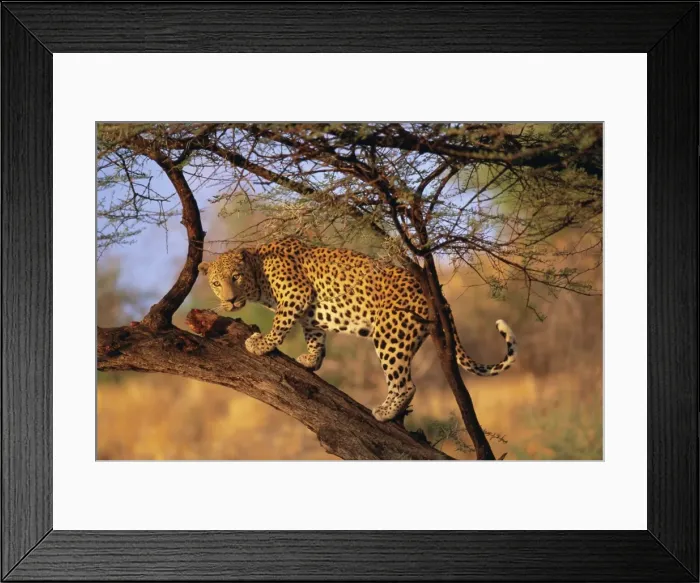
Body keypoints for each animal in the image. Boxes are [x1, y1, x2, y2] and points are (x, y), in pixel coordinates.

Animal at [198, 237, 517, 422]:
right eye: (216, 283)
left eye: (235, 277)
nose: (229, 300)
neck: (258, 273)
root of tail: (433, 293)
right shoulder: (309, 312)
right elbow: (313, 334)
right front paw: (311, 360)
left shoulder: (296, 294)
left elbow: (280, 323)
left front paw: (262, 343)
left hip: (390, 333)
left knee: (406, 383)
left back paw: (385, 413)